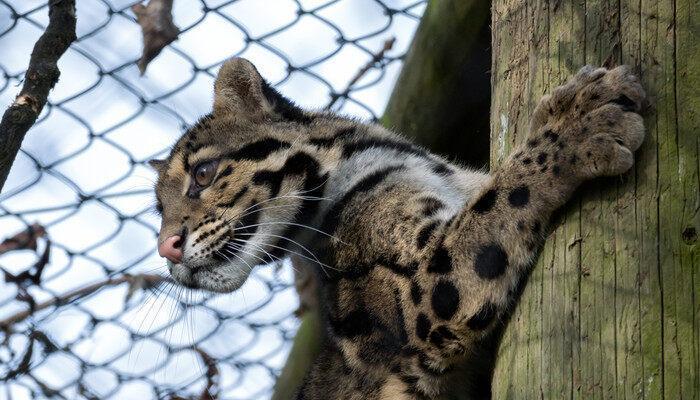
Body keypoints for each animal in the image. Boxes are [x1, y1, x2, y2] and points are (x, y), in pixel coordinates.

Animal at [153, 57, 644, 398]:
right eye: (159, 208)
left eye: (203, 174)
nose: (166, 249)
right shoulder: (425, 292)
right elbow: (500, 198)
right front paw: (579, 125)